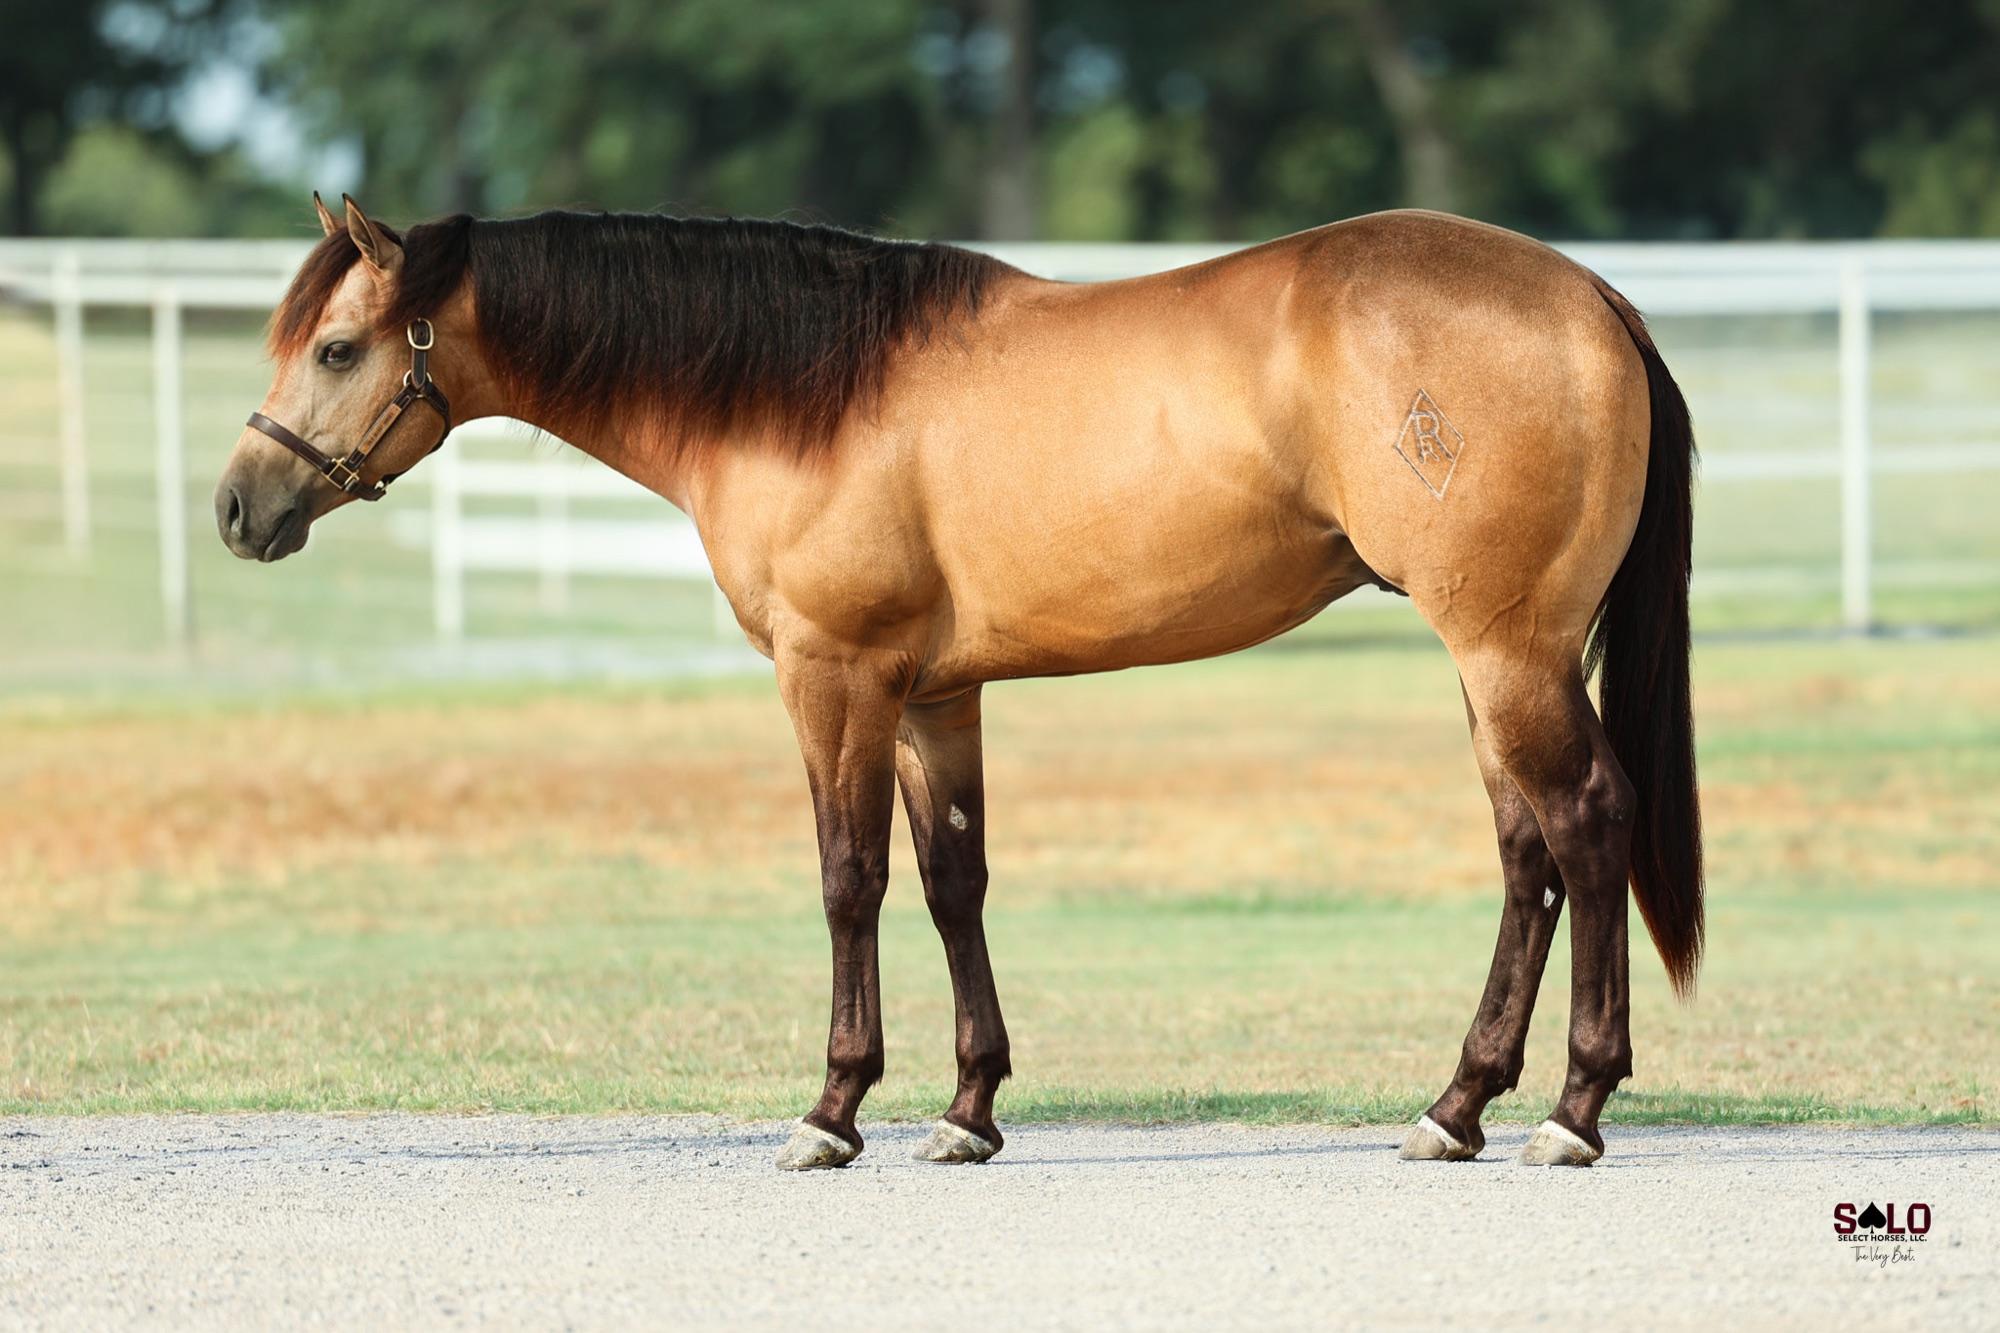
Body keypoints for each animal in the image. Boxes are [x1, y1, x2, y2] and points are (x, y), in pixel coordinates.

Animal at [216, 194, 1702, 1170]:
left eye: (337, 349)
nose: (239, 507)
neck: (803, 392)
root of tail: (1594, 299)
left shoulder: (834, 677)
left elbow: (848, 880)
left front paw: (832, 1110)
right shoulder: (935, 697)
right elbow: (951, 881)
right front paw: (966, 1109)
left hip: (1504, 651)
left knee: (1586, 824)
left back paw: (1571, 1112)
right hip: (1495, 662)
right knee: (1527, 855)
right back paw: (1456, 1106)